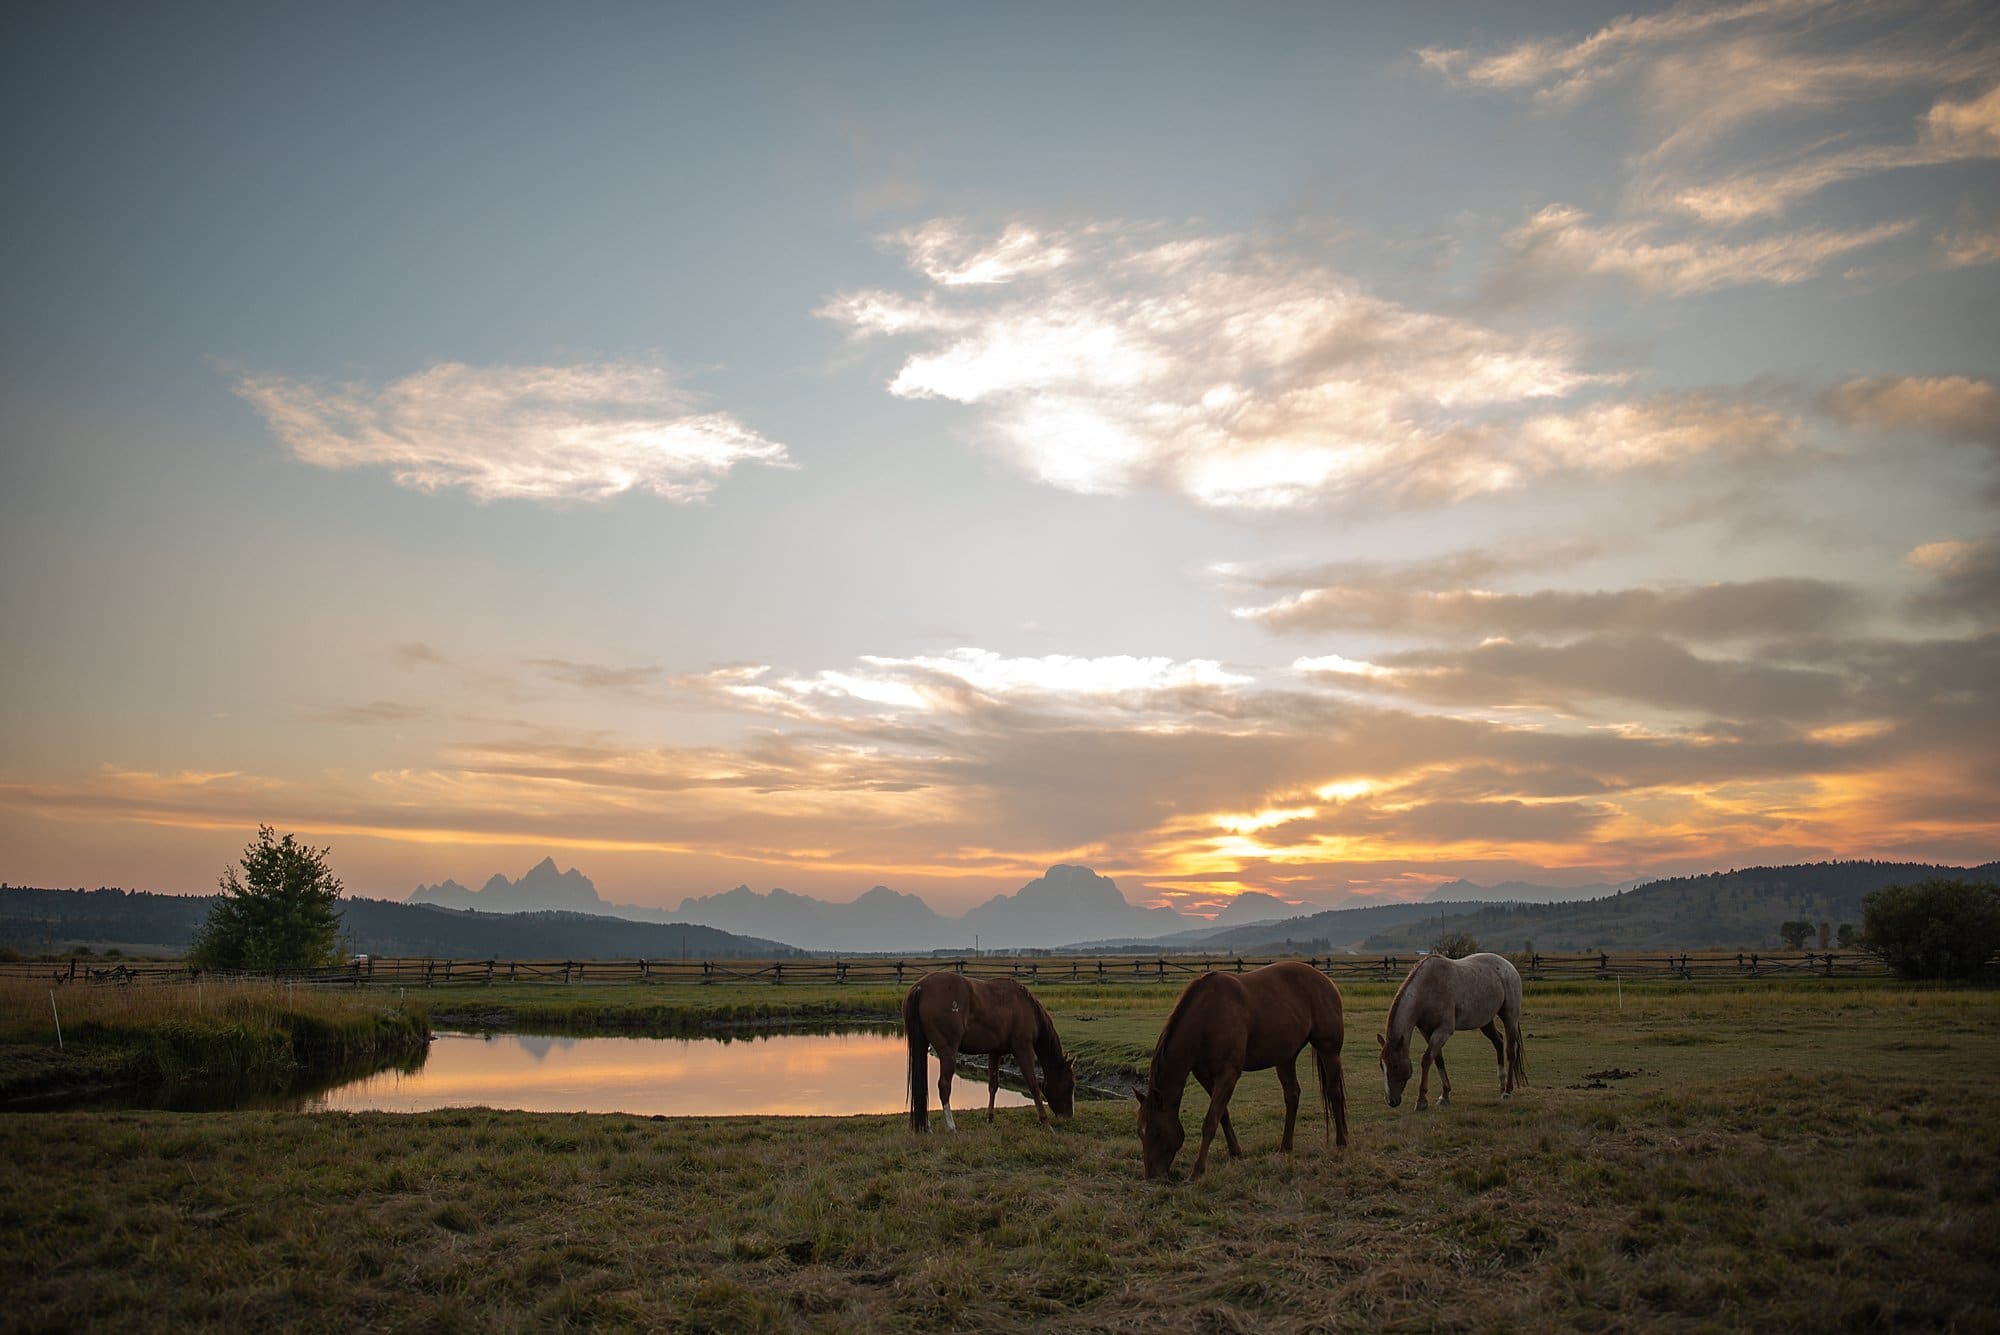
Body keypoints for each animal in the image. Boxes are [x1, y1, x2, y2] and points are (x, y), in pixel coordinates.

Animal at [908, 975, 1080, 1135]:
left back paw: (926, 1126)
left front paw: (990, 1118)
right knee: (944, 1085)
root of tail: (920, 987)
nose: (1069, 1115)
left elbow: (993, 1085)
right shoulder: (1023, 1049)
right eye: (1071, 1084)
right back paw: (951, 1127)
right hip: (948, 1052)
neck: (1024, 1006)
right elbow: (1033, 1085)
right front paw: (1045, 1123)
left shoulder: (995, 1052)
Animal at [1136, 959, 1352, 1175]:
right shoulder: (1205, 1076)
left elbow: (1210, 1120)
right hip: (1286, 1057)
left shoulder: (1228, 1074)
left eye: (1155, 1132)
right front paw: (1236, 1152)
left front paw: (1198, 1170)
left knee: (1334, 1092)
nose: (1151, 1175)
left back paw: (1341, 1141)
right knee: (1292, 1095)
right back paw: (1285, 1147)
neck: (1207, 1016)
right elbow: (1222, 1114)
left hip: (1328, 1049)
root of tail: (1327, 981)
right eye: (1140, 1132)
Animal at [1376, 955, 1528, 1111]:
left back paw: (1507, 1091)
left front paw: (1422, 1100)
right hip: (1486, 1021)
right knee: (1498, 1042)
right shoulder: (1427, 1031)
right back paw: (1502, 1086)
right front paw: (1445, 1095)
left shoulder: (1443, 1031)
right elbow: (1438, 1059)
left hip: (1510, 1018)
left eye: (1395, 1066)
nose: (1391, 1101)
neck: (1426, 990)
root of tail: (1509, 966)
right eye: (1382, 1066)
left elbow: (1427, 1059)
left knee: (1510, 1052)